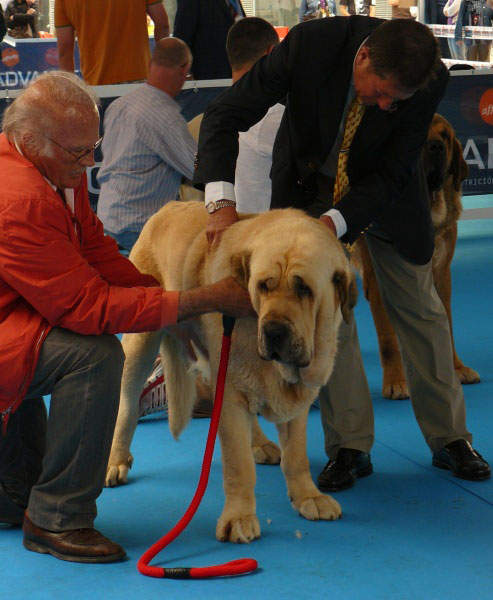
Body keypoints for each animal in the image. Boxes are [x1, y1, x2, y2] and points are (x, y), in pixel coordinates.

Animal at [106, 202, 358, 544]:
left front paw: (308, 496)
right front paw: (239, 517)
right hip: (142, 344)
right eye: (263, 286)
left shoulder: (295, 398)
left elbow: (297, 456)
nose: (274, 331)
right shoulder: (231, 395)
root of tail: (168, 206)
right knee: (127, 405)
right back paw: (116, 460)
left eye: (304, 289)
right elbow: (239, 465)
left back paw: (260, 443)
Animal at [352, 115, 478, 400]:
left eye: (444, 136)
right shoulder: (379, 281)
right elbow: (387, 338)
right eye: (421, 137)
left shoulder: (440, 275)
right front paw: (396, 381)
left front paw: (456, 368)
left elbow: (447, 325)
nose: (435, 147)